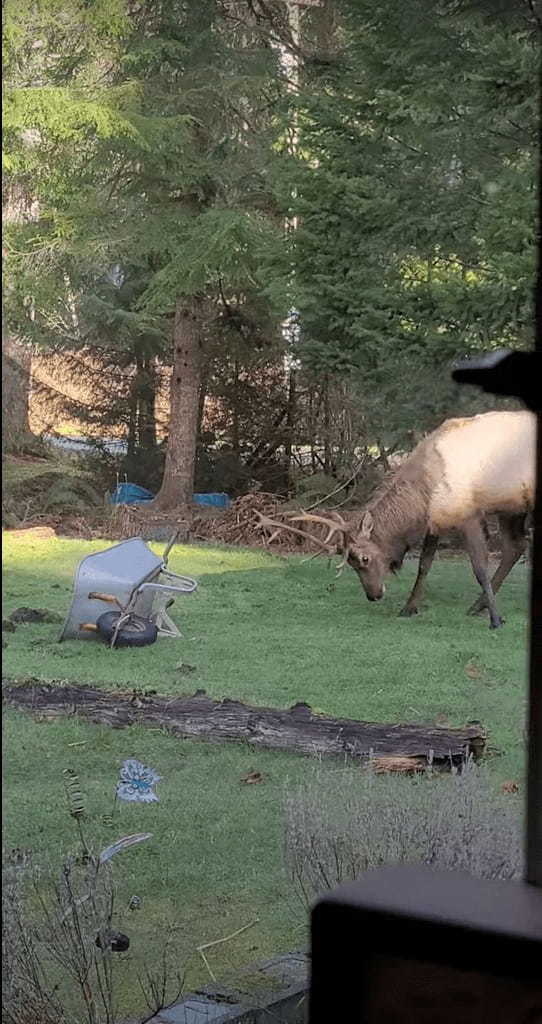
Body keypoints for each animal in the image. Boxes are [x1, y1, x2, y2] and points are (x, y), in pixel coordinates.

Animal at [256, 407, 532, 622]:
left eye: (364, 558)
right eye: (351, 563)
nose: (373, 595)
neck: (423, 493)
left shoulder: (468, 513)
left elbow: (479, 567)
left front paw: (496, 619)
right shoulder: (434, 521)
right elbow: (424, 565)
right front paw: (408, 608)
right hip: (513, 507)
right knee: (516, 545)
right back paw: (477, 605)